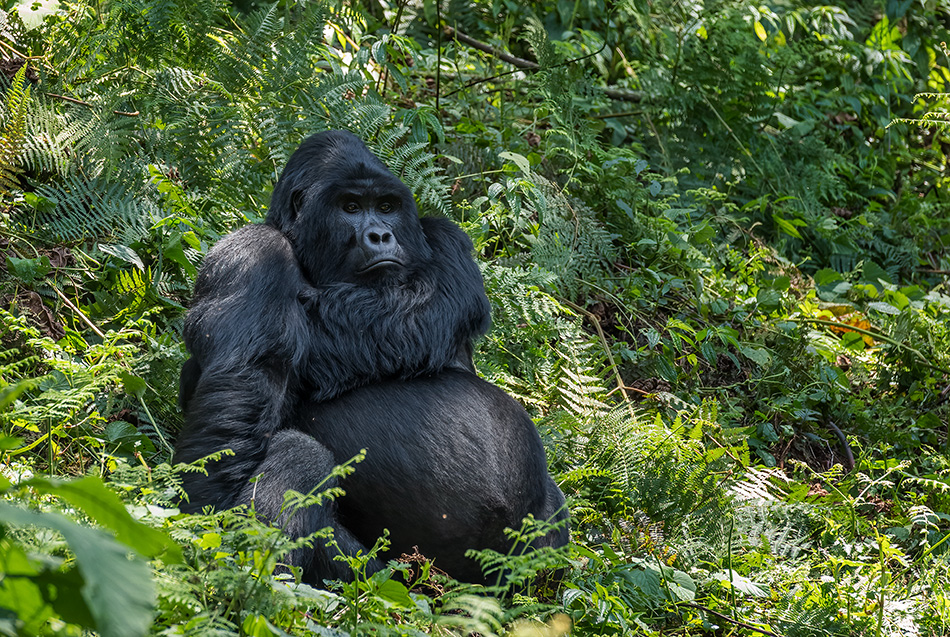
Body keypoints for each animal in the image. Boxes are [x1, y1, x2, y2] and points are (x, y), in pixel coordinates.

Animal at [175, 132, 568, 584]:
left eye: (385, 207)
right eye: (350, 208)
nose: (380, 235)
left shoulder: (445, 236)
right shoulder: (251, 251)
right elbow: (242, 384)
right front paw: (202, 514)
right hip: (376, 577)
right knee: (300, 456)